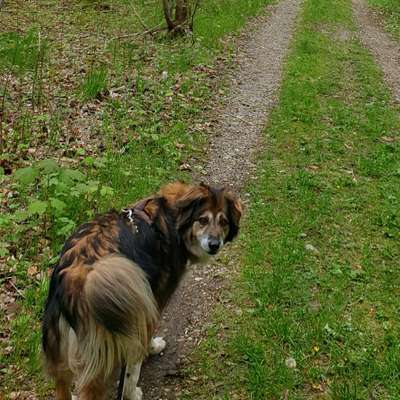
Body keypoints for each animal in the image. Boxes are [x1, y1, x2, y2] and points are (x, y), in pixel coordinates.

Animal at [41, 182, 241, 400]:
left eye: (223, 222)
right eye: (203, 219)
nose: (214, 245)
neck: (173, 217)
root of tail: (74, 276)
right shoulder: (151, 303)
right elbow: (134, 363)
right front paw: (137, 379)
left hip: (59, 350)